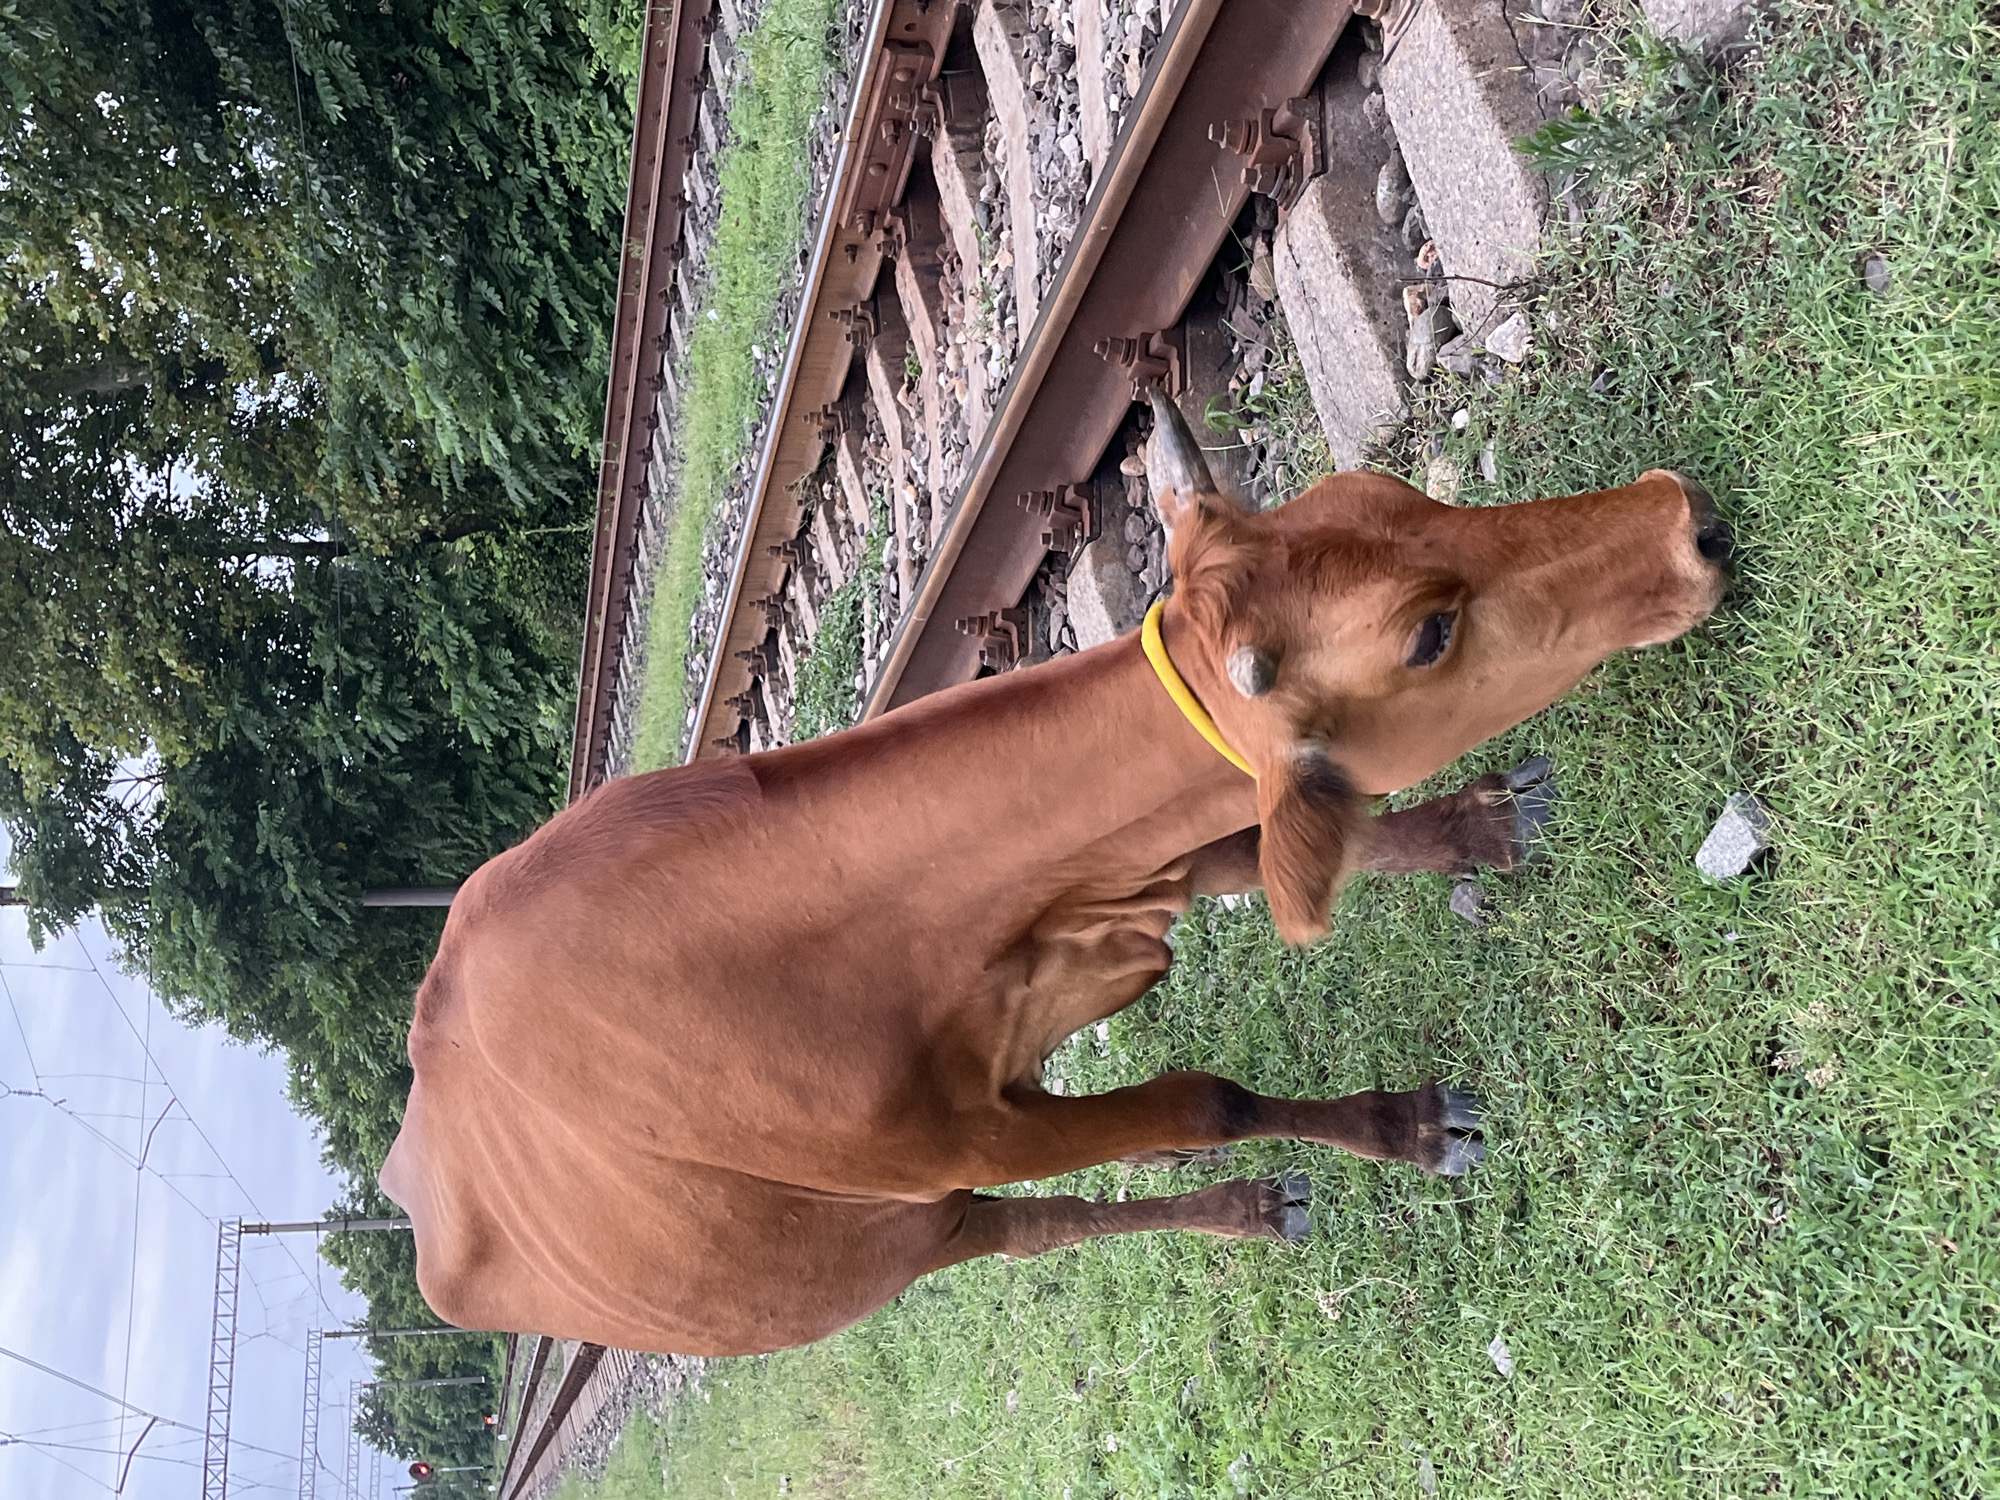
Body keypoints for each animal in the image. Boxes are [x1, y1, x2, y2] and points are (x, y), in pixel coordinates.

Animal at [380, 392, 1730, 1356]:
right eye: (1428, 634)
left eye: (1389, 491)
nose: (1689, 522)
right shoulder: (965, 1137)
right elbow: (1203, 1099)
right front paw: (1399, 1126)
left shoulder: (1146, 865)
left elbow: (1287, 849)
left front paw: (1475, 830)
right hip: (901, 1240)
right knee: (1041, 1229)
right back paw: (1241, 1208)